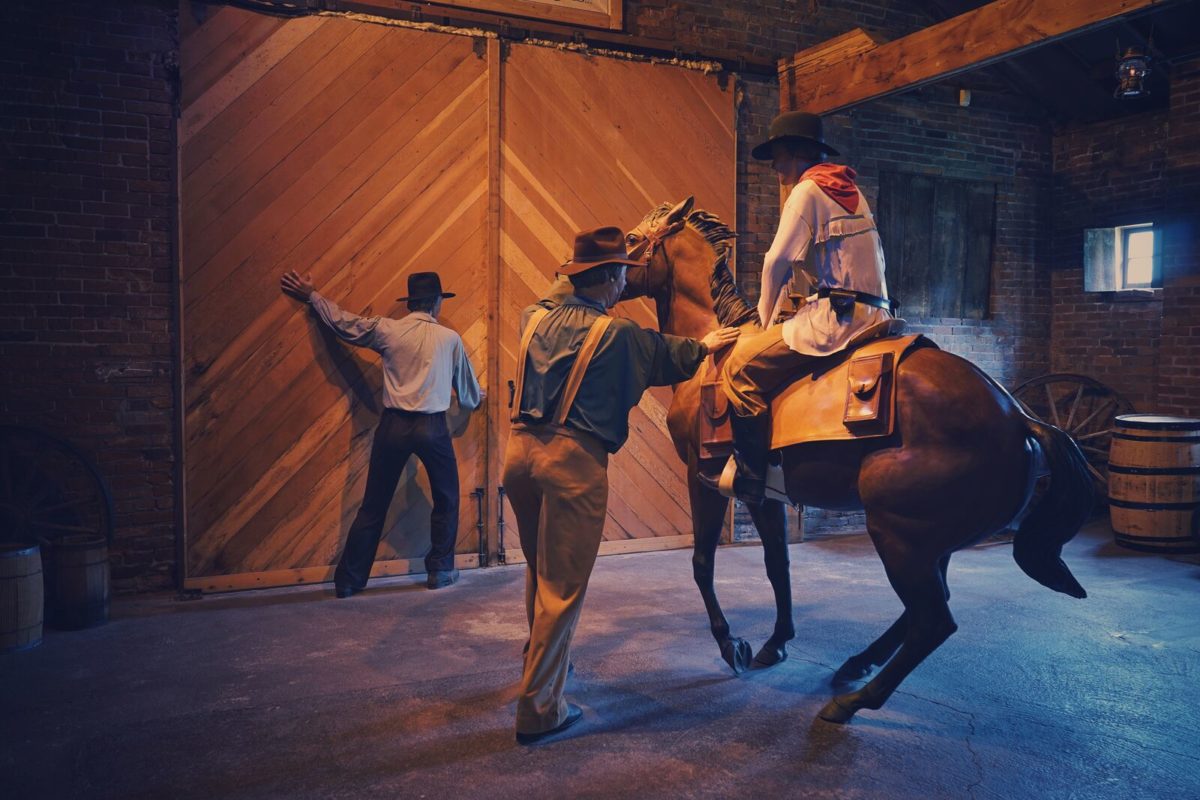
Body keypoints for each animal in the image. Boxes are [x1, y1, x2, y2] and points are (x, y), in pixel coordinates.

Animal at [624, 196, 1094, 724]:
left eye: (632, 241)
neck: (714, 344)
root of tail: (1019, 417)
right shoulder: (765, 495)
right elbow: (777, 564)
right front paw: (776, 643)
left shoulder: (701, 477)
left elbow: (702, 562)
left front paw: (732, 646)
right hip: (929, 541)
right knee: (924, 610)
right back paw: (857, 664)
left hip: (896, 533)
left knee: (934, 621)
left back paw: (853, 700)